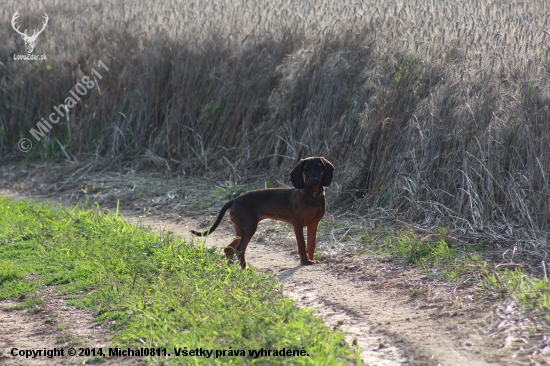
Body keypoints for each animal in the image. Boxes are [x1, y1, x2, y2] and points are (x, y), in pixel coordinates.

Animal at [192, 157, 334, 268]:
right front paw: (305, 262)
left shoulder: (314, 224)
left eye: (319, 167)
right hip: (249, 227)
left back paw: (230, 269)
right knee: (239, 249)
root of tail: (234, 200)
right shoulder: (297, 224)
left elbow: (311, 244)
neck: (312, 195)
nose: (314, 179)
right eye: (306, 168)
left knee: (229, 249)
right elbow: (302, 244)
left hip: (240, 229)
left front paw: (312, 260)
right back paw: (246, 269)